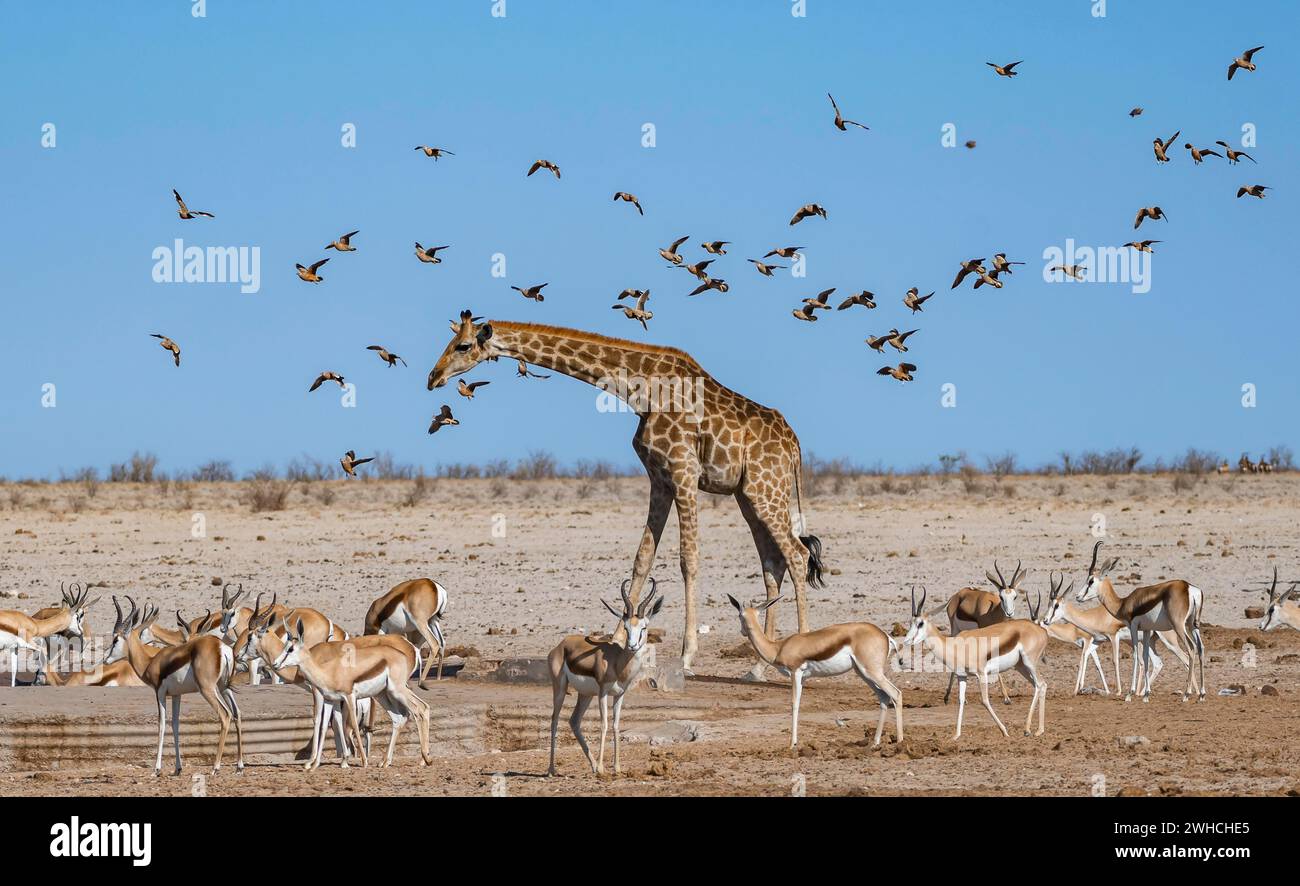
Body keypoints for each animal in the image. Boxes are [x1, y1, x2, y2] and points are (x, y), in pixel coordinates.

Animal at [431, 310, 826, 670]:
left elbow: (688, 559)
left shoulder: (683, 473)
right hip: (749, 495)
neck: (641, 391)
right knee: (773, 563)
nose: (433, 377)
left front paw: (686, 656)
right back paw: (758, 666)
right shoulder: (659, 479)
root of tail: (794, 445)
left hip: (765, 489)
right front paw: (619, 638)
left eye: (462, 345)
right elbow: (642, 559)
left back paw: (798, 648)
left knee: (796, 555)